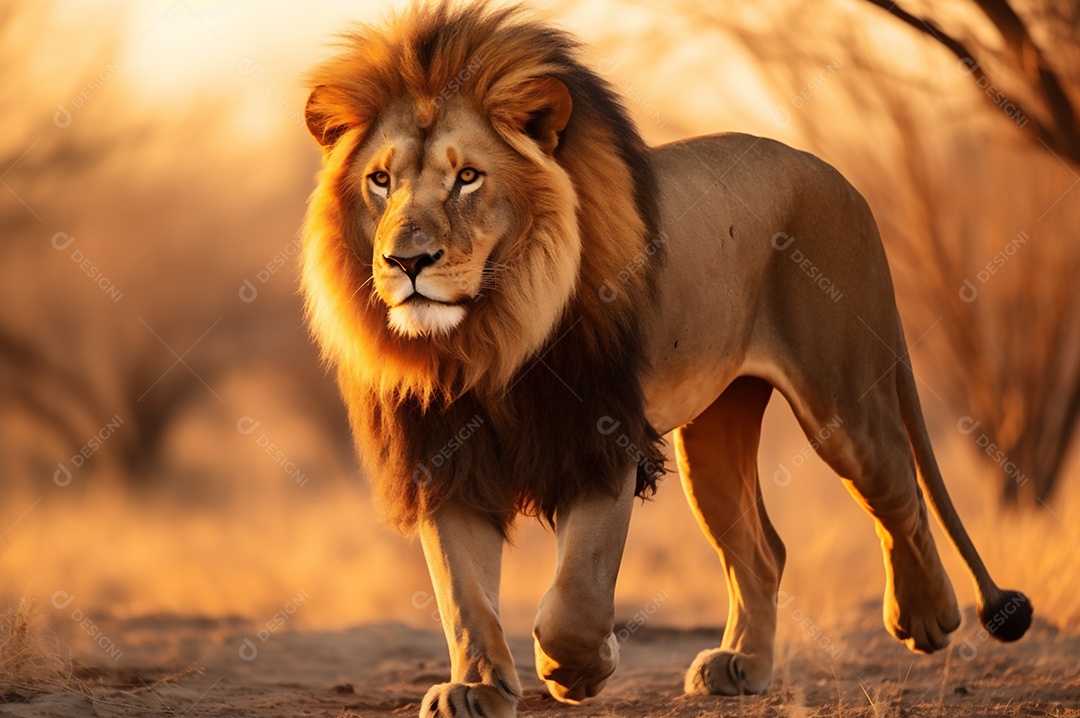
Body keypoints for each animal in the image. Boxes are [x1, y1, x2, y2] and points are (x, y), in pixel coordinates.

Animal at [300, 3, 1032, 716]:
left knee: (900, 490)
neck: (487, 339)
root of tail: (837, 175)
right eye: (380, 181)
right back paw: (742, 666)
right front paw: (477, 687)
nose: (406, 261)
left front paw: (580, 669)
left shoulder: (602, 436)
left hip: (842, 399)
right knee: (763, 551)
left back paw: (928, 616)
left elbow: (575, 594)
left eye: (468, 178)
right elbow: (463, 594)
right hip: (714, 436)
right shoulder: (443, 455)